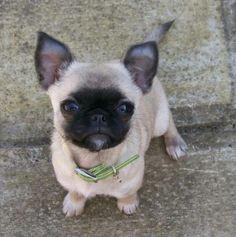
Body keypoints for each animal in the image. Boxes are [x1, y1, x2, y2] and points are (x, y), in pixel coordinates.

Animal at [34, 21, 186, 217]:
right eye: (69, 107)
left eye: (125, 109)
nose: (99, 115)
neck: (95, 162)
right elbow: (75, 191)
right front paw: (74, 203)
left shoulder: (132, 182)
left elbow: (127, 194)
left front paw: (128, 203)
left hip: (160, 122)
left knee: (170, 122)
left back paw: (175, 143)